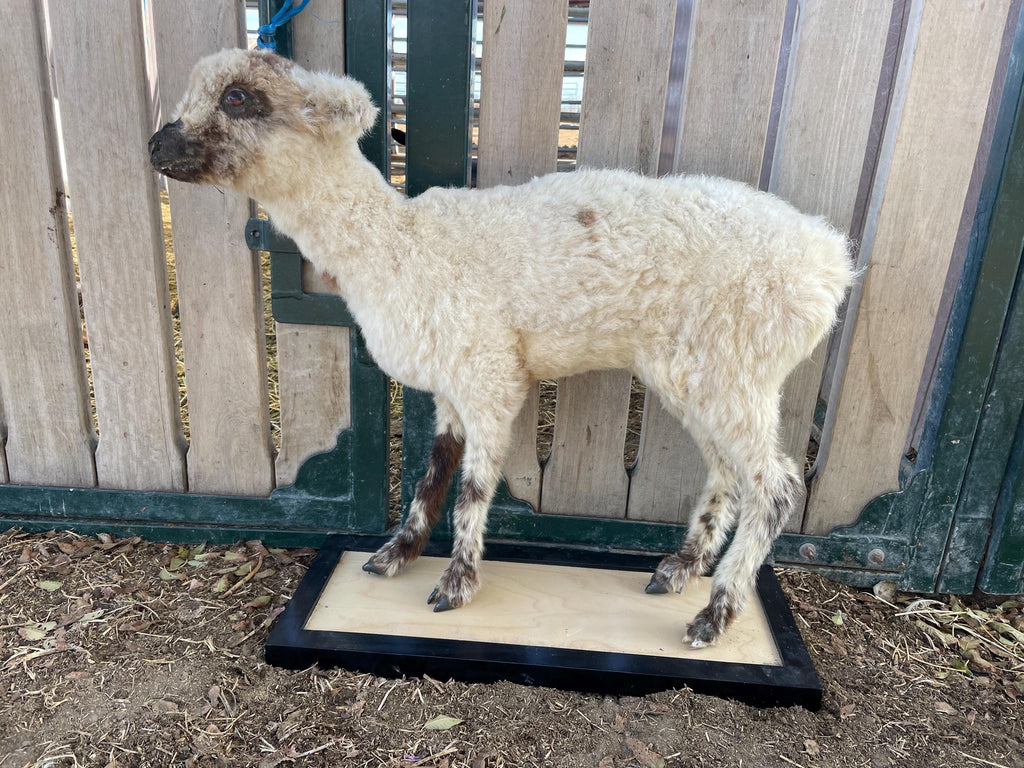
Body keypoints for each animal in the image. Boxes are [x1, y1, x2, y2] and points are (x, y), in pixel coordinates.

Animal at [149, 48, 854, 648]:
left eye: (239, 97)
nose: (157, 143)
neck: (398, 246)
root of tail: (831, 261)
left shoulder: (489, 371)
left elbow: (473, 486)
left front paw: (455, 584)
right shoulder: (450, 380)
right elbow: (433, 470)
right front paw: (394, 554)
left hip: (735, 361)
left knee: (776, 487)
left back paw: (717, 612)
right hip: (700, 373)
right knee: (728, 471)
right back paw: (680, 567)